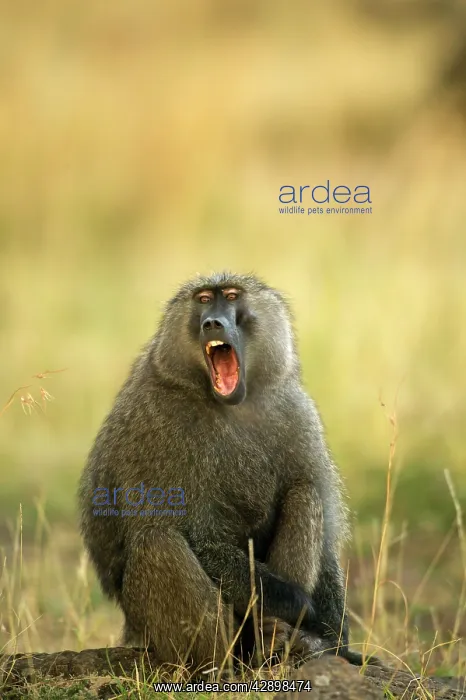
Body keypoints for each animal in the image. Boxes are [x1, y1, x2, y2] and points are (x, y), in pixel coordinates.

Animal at [78, 271, 377, 673]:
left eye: (232, 296)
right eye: (204, 299)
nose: (212, 323)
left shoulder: (298, 413)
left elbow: (326, 539)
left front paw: (335, 642)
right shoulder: (155, 425)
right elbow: (198, 537)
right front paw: (297, 603)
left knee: (304, 493)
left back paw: (279, 642)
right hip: (153, 628)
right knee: (157, 540)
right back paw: (218, 667)